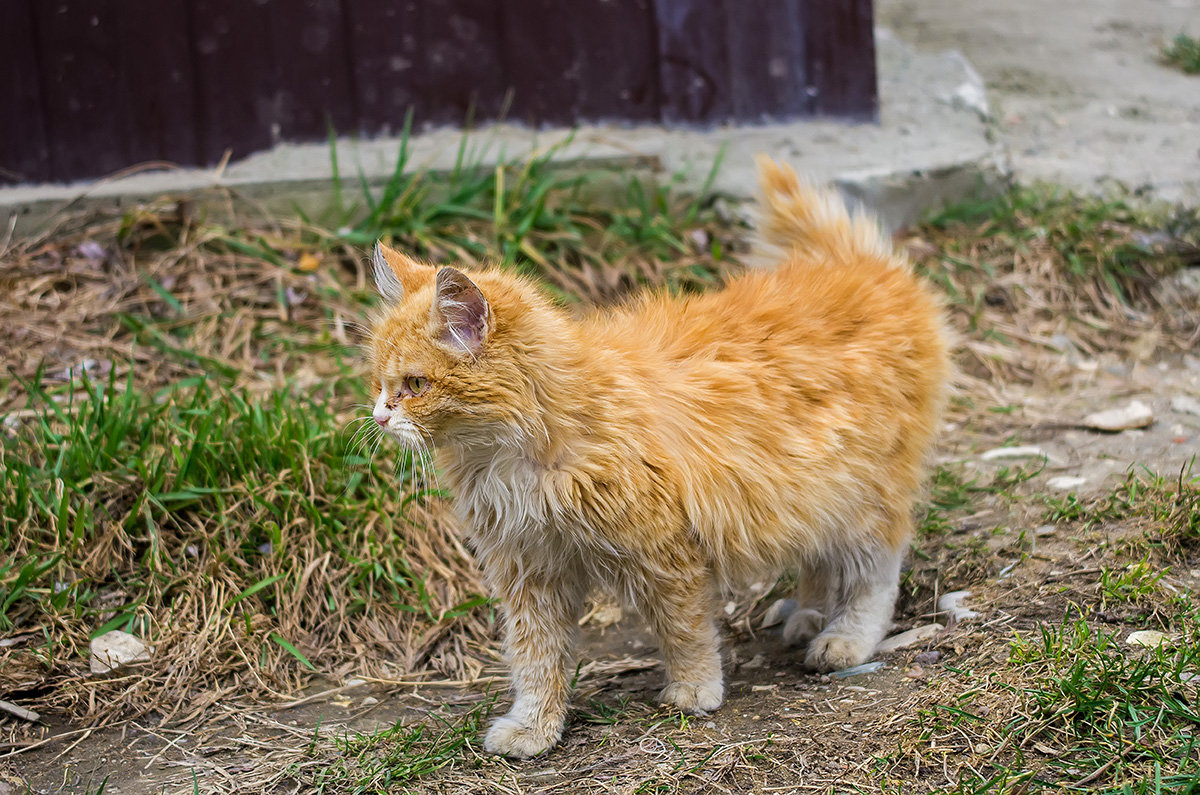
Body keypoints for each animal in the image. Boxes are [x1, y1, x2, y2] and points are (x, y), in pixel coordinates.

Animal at [362, 157, 945, 758]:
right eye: (380, 383)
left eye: (415, 385)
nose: (379, 416)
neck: (518, 458)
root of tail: (862, 266)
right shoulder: (529, 569)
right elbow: (536, 658)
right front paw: (534, 727)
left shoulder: (664, 552)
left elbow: (683, 629)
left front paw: (695, 689)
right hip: (808, 495)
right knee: (820, 559)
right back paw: (806, 614)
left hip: (861, 494)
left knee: (875, 571)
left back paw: (844, 637)